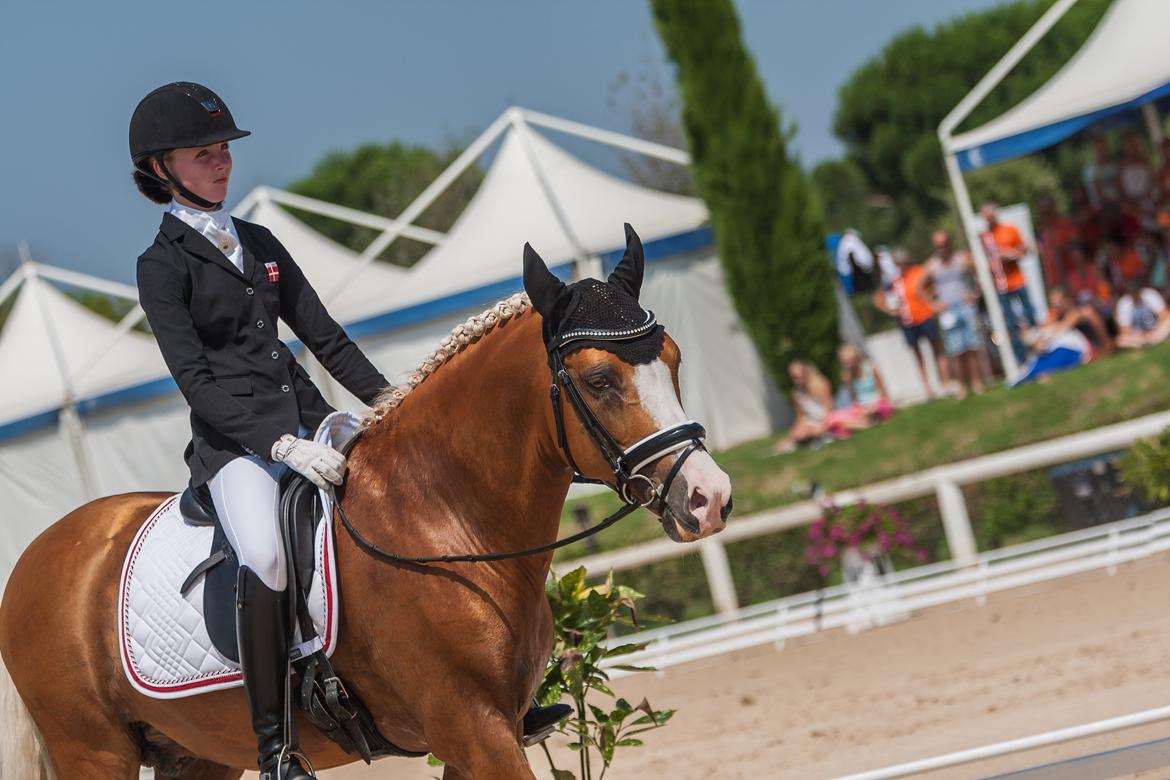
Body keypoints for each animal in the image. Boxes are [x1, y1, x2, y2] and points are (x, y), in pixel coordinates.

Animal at [0, 229, 733, 780]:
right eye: (601, 379)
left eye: (672, 358)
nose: (709, 498)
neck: (441, 516)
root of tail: (36, 557)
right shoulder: (472, 728)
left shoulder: (478, 737)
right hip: (95, 752)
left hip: (198, 753)